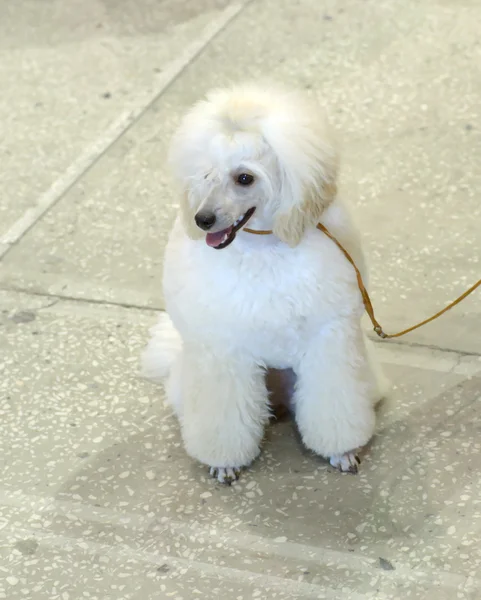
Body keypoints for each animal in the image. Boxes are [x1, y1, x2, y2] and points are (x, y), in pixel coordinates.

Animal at [142, 84, 386, 486]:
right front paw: (225, 462)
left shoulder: (328, 340)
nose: (202, 220)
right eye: (206, 174)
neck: (262, 248)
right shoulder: (222, 350)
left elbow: (334, 403)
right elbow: (224, 417)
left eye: (245, 178)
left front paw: (341, 450)